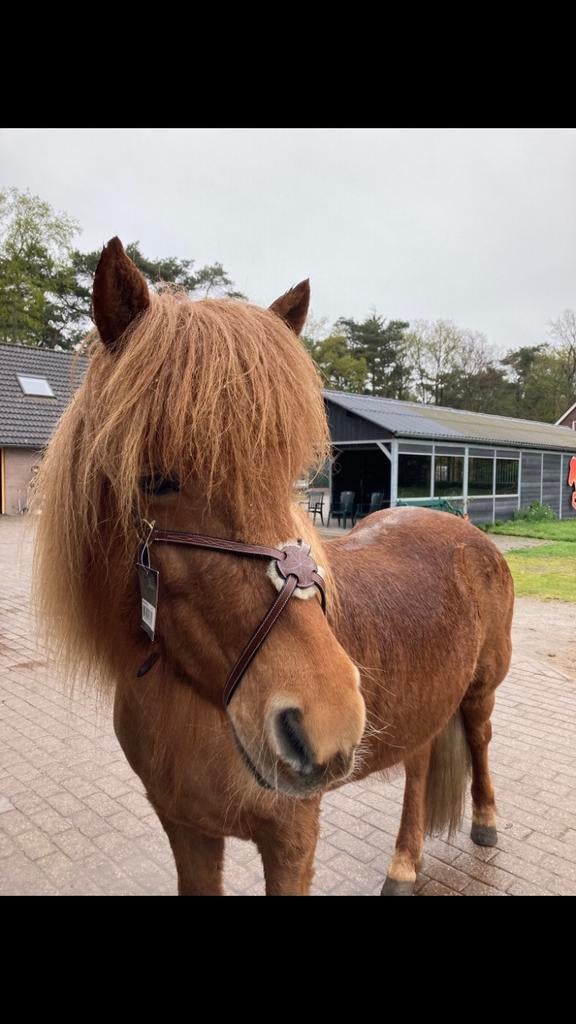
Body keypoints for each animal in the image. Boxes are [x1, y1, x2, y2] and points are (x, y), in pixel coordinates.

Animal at [34, 238, 514, 896]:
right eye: (154, 479)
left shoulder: (291, 839)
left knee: (481, 739)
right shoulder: (185, 830)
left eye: (287, 474)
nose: (329, 722)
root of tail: (463, 528)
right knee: (418, 762)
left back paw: (487, 822)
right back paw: (404, 864)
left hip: (481, 689)